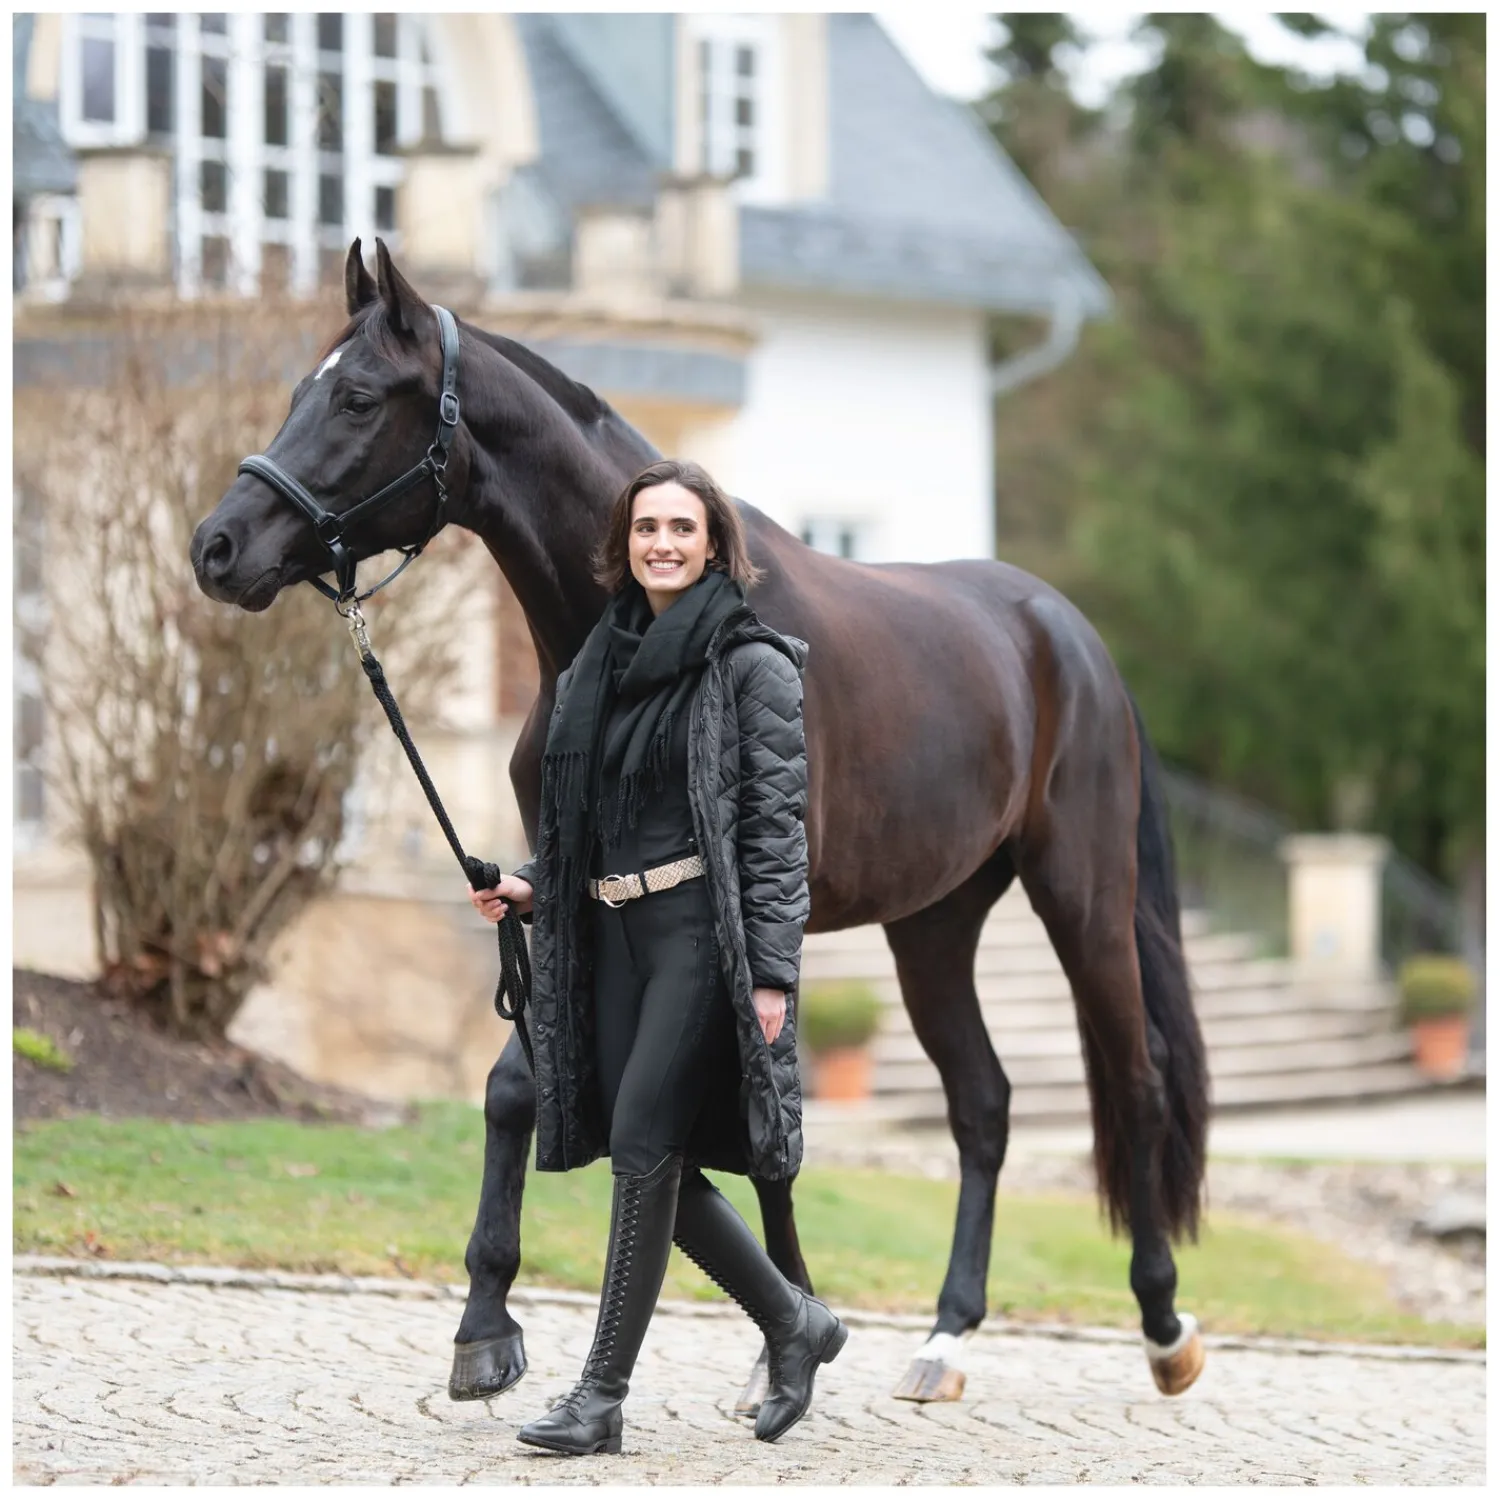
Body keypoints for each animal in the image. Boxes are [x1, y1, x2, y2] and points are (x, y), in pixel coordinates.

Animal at [191, 240, 1210, 1408]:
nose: (217, 546)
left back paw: (1165, 1328)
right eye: (300, 390)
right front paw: (489, 1327)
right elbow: (516, 1088)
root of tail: (1070, 638)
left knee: (1135, 1082)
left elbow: (759, 1124)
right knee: (983, 1104)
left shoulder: (761, 916)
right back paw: (946, 1338)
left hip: (1082, 898)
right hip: (934, 924)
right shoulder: (565, 897)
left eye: (357, 397)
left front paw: (787, 1344)